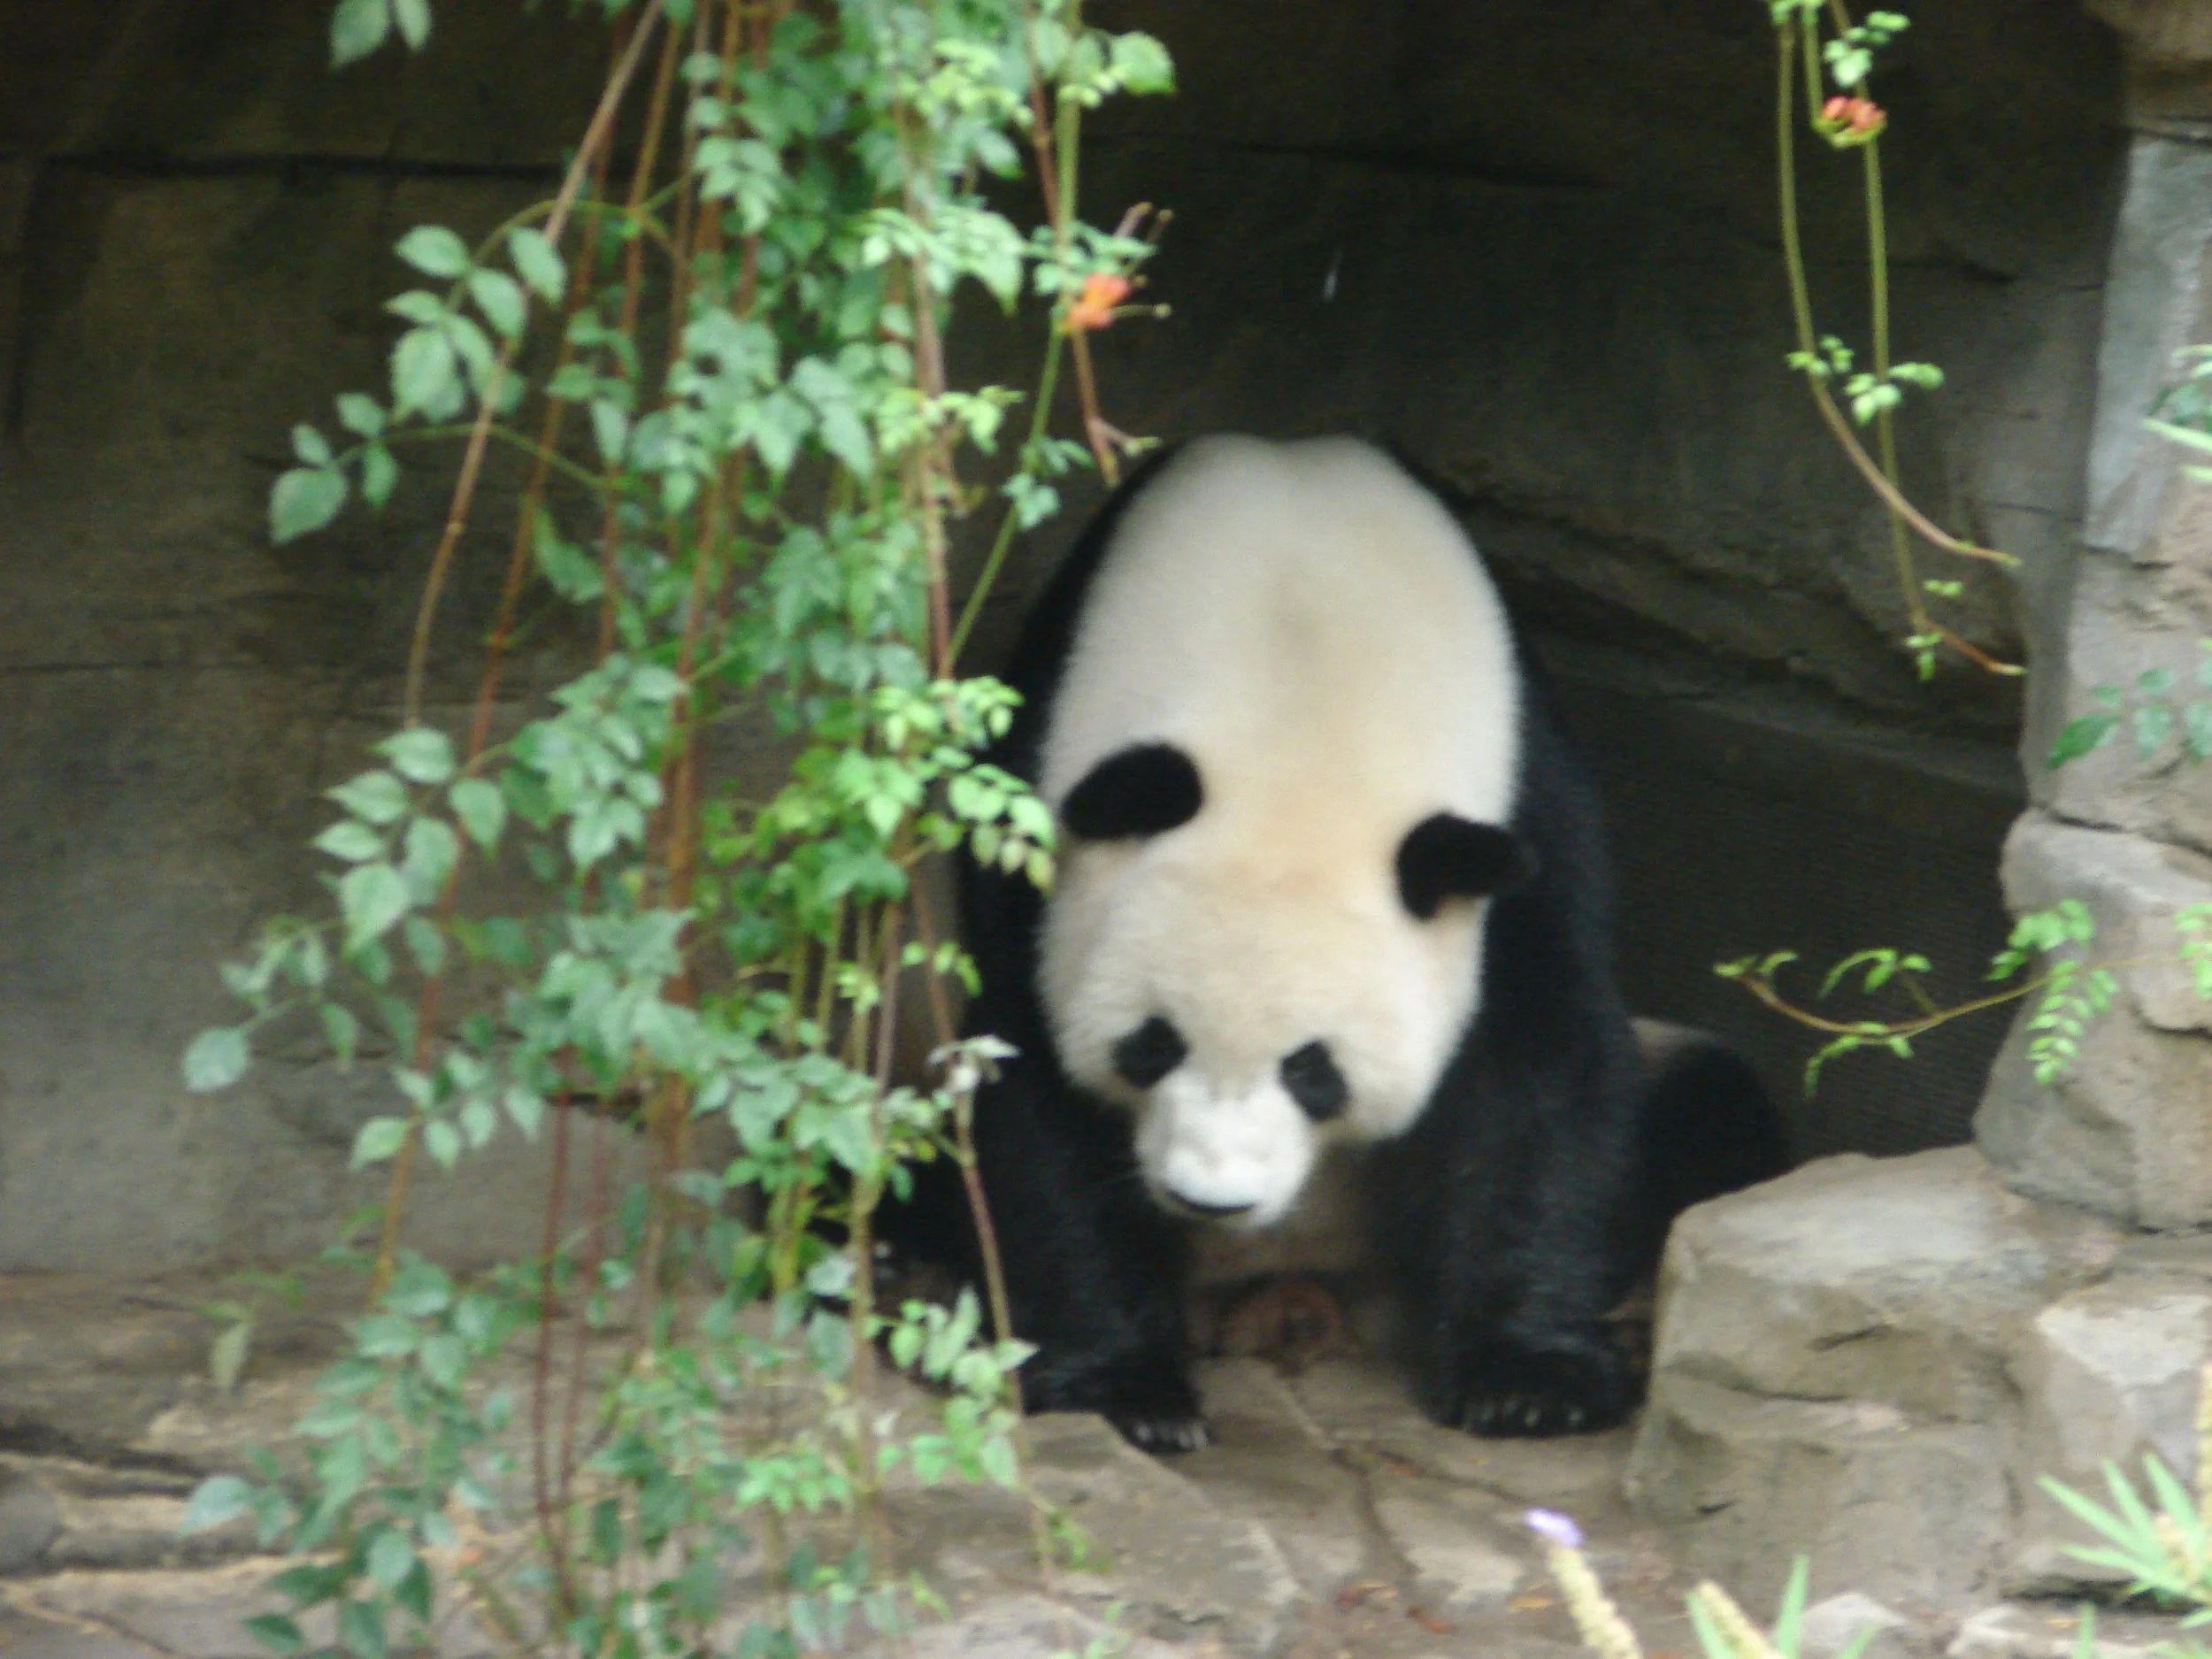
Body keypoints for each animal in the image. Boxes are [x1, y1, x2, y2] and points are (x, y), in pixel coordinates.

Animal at [898, 434, 1788, 1453]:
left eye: (1312, 1070)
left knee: (1713, 1099)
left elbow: (1539, 1058)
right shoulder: (1037, 812)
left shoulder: (1525, 805)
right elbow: (1028, 1071)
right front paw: (1124, 1386)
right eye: (1152, 1044)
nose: (1213, 1200)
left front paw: (1531, 1380)